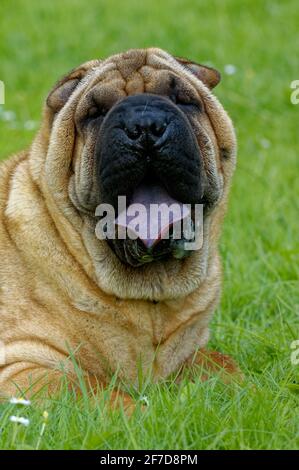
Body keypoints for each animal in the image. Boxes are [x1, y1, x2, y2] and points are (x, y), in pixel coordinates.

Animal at [0, 47, 239, 404]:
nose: (145, 124)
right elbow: (98, 394)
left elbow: (231, 369)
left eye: (182, 100)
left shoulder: (192, 352)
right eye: (96, 113)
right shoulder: (22, 367)